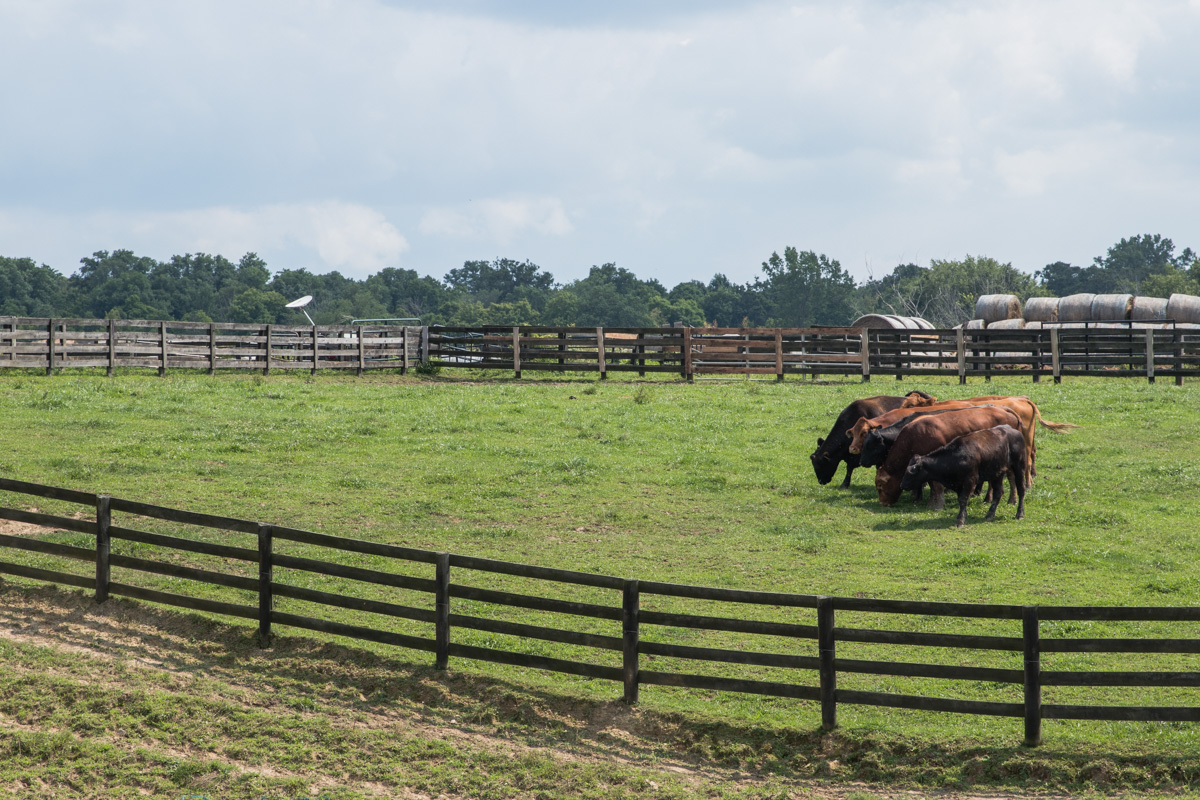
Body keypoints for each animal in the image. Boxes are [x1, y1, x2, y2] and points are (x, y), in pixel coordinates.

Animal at [873, 407, 1022, 506]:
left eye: (880, 485)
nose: (883, 503)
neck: (914, 437)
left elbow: (935, 484)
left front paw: (935, 504)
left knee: (1009, 477)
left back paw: (1002, 499)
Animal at [897, 422, 1027, 527]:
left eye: (911, 473)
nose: (902, 485)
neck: (956, 456)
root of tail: (1016, 432)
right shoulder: (958, 484)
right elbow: (961, 499)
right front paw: (964, 516)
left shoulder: (970, 480)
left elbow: (963, 499)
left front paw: (960, 520)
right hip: (997, 474)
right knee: (998, 493)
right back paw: (990, 514)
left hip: (1019, 468)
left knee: (1021, 490)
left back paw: (1019, 514)